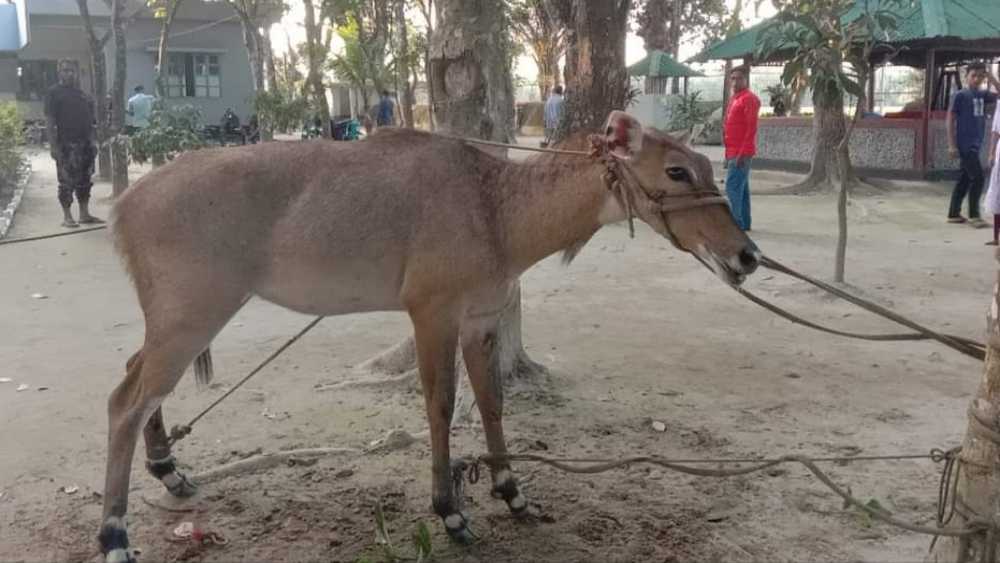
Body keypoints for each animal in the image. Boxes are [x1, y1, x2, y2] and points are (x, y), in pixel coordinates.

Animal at [99, 111, 756, 563]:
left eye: (707, 164)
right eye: (676, 169)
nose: (746, 256)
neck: (498, 208)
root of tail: (125, 204)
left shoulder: (480, 320)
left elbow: (491, 401)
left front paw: (513, 494)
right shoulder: (431, 313)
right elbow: (440, 405)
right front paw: (452, 515)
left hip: (177, 320)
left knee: (136, 374)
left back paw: (171, 471)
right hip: (193, 313)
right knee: (125, 401)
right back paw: (113, 534)